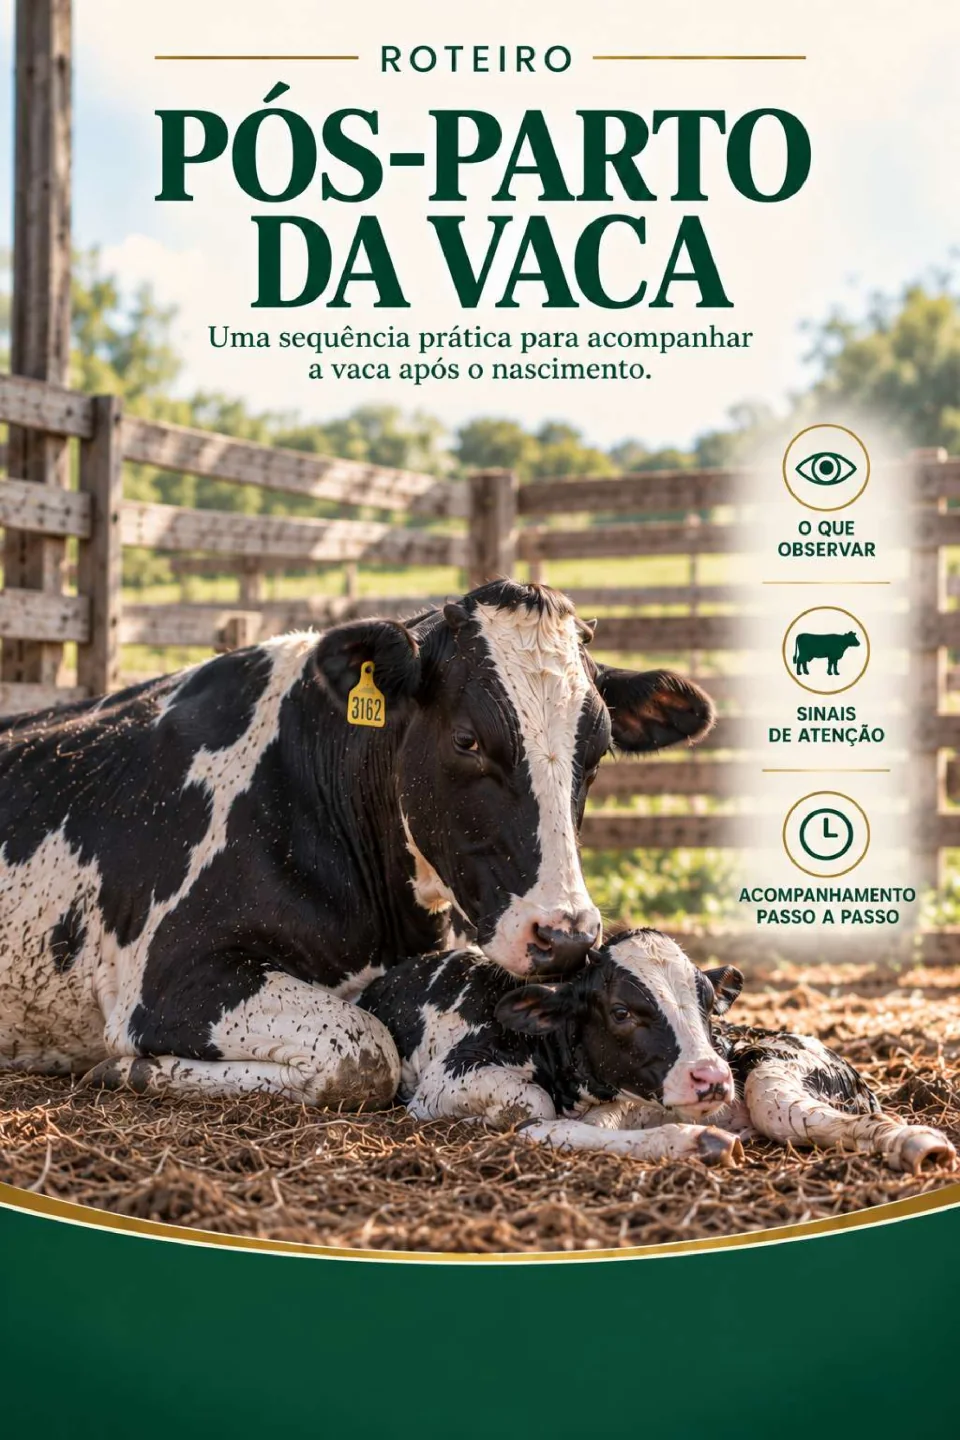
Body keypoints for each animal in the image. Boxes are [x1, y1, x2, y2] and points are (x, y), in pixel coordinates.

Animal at [0, 580, 715, 1110]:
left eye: (598, 750)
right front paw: (132, 1068)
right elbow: (364, 1050)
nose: (564, 936)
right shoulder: (168, 977)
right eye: (467, 739)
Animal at [358, 929, 957, 1174]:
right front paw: (695, 1142)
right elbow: (535, 1114)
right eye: (622, 1011)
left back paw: (916, 1142)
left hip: (774, 1073)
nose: (711, 1078)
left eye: (709, 1002)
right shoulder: (445, 1083)